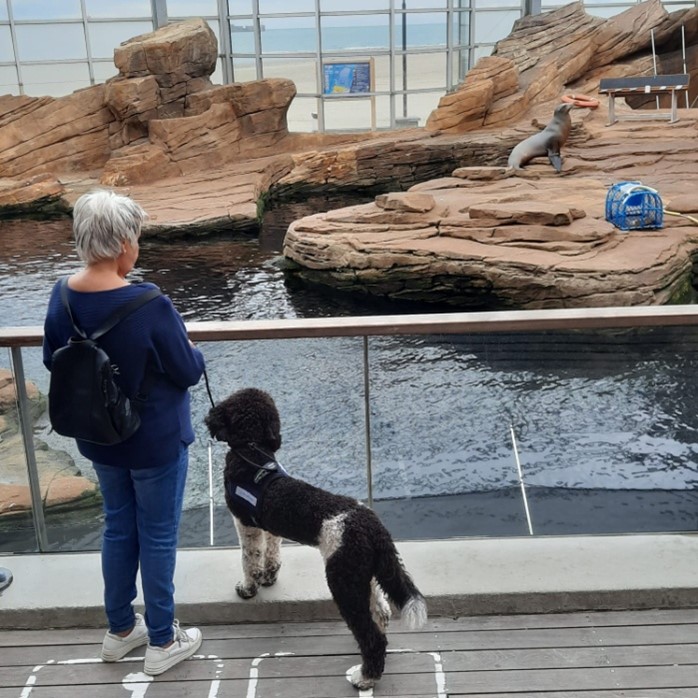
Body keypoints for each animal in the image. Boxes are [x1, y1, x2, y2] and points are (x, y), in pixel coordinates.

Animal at [204, 388, 426, 688]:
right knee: (380, 613)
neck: (252, 451)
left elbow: (249, 559)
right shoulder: (269, 525)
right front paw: (269, 577)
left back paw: (365, 676)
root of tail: (373, 527)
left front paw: (248, 588)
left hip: (343, 579)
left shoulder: (245, 523)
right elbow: (272, 552)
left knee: (371, 635)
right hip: (363, 573)